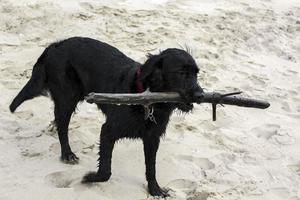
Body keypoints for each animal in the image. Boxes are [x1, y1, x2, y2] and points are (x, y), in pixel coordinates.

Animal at [10, 37, 204, 197]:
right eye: (181, 73)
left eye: (196, 73)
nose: (201, 95)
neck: (148, 102)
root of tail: (56, 45)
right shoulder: (108, 131)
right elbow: (105, 172)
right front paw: (89, 177)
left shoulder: (152, 138)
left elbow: (151, 168)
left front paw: (155, 189)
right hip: (67, 99)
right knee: (62, 127)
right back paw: (67, 154)